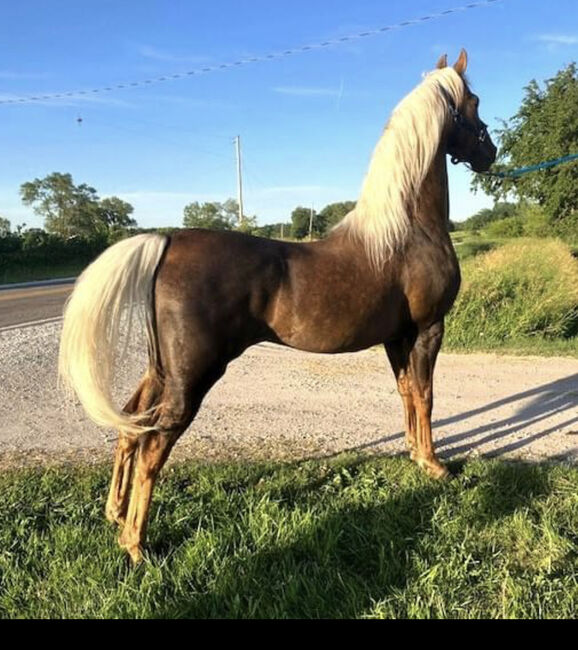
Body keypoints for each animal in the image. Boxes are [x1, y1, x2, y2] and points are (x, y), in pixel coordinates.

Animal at [60, 48, 498, 560]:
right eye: (474, 101)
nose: (490, 153)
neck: (407, 230)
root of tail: (166, 241)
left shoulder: (398, 337)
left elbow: (408, 393)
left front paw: (414, 453)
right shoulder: (428, 329)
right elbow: (426, 395)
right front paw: (434, 465)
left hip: (161, 371)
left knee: (132, 425)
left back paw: (115, 513)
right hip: (192, 377)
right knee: (154, 446)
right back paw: (136, 545)